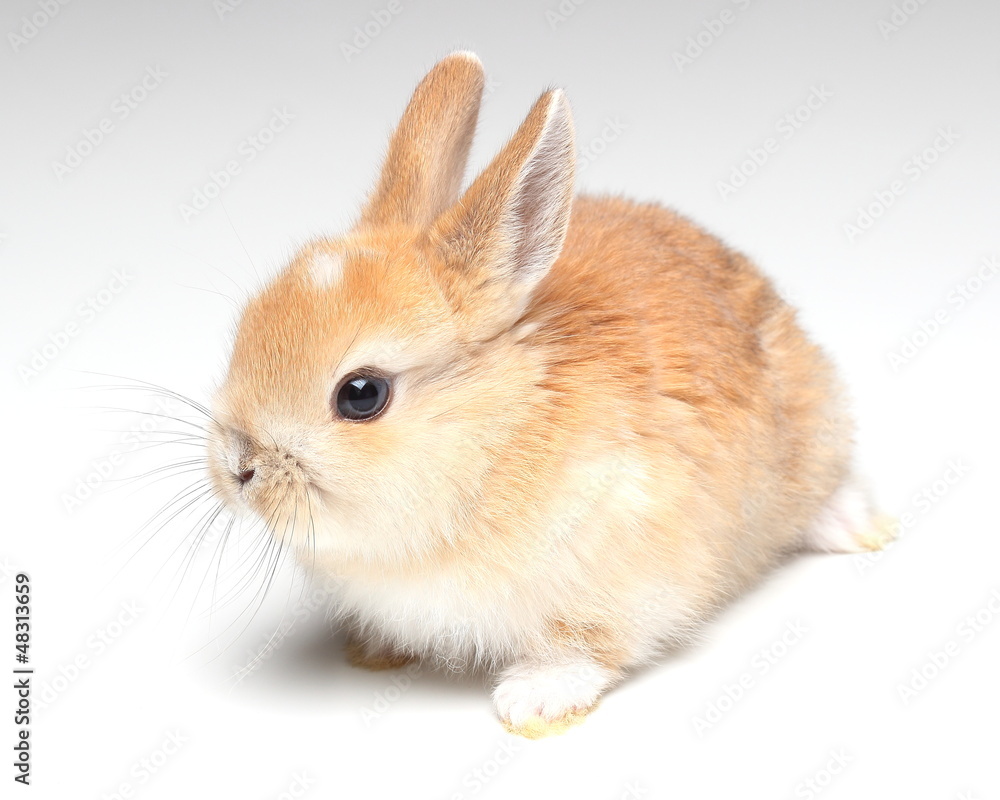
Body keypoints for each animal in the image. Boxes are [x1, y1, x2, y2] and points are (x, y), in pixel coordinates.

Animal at [205, 51, 889, 738]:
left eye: (362, 395)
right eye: (246, 327)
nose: (239, 469)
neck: (494, 438)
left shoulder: (630, 561)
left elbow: (586, 644)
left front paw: (532, 704)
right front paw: (373, 653)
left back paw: (859, 529)